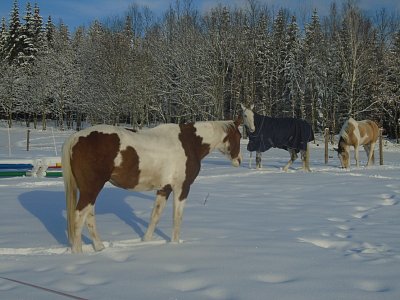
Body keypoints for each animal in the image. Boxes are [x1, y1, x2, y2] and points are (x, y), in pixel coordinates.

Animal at [62, 120, 241, 253]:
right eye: (239, 136)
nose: (238, 161)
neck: (190, 143)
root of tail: (76, 136)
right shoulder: (182, 188)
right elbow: (177, 218)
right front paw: (175, 243)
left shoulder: (164, 189)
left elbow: (155, 216)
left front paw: (146, 241)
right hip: (91, 189)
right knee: (79, 217)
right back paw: (78, 252)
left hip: (90, 191)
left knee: (89, 216)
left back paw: (99, 248)